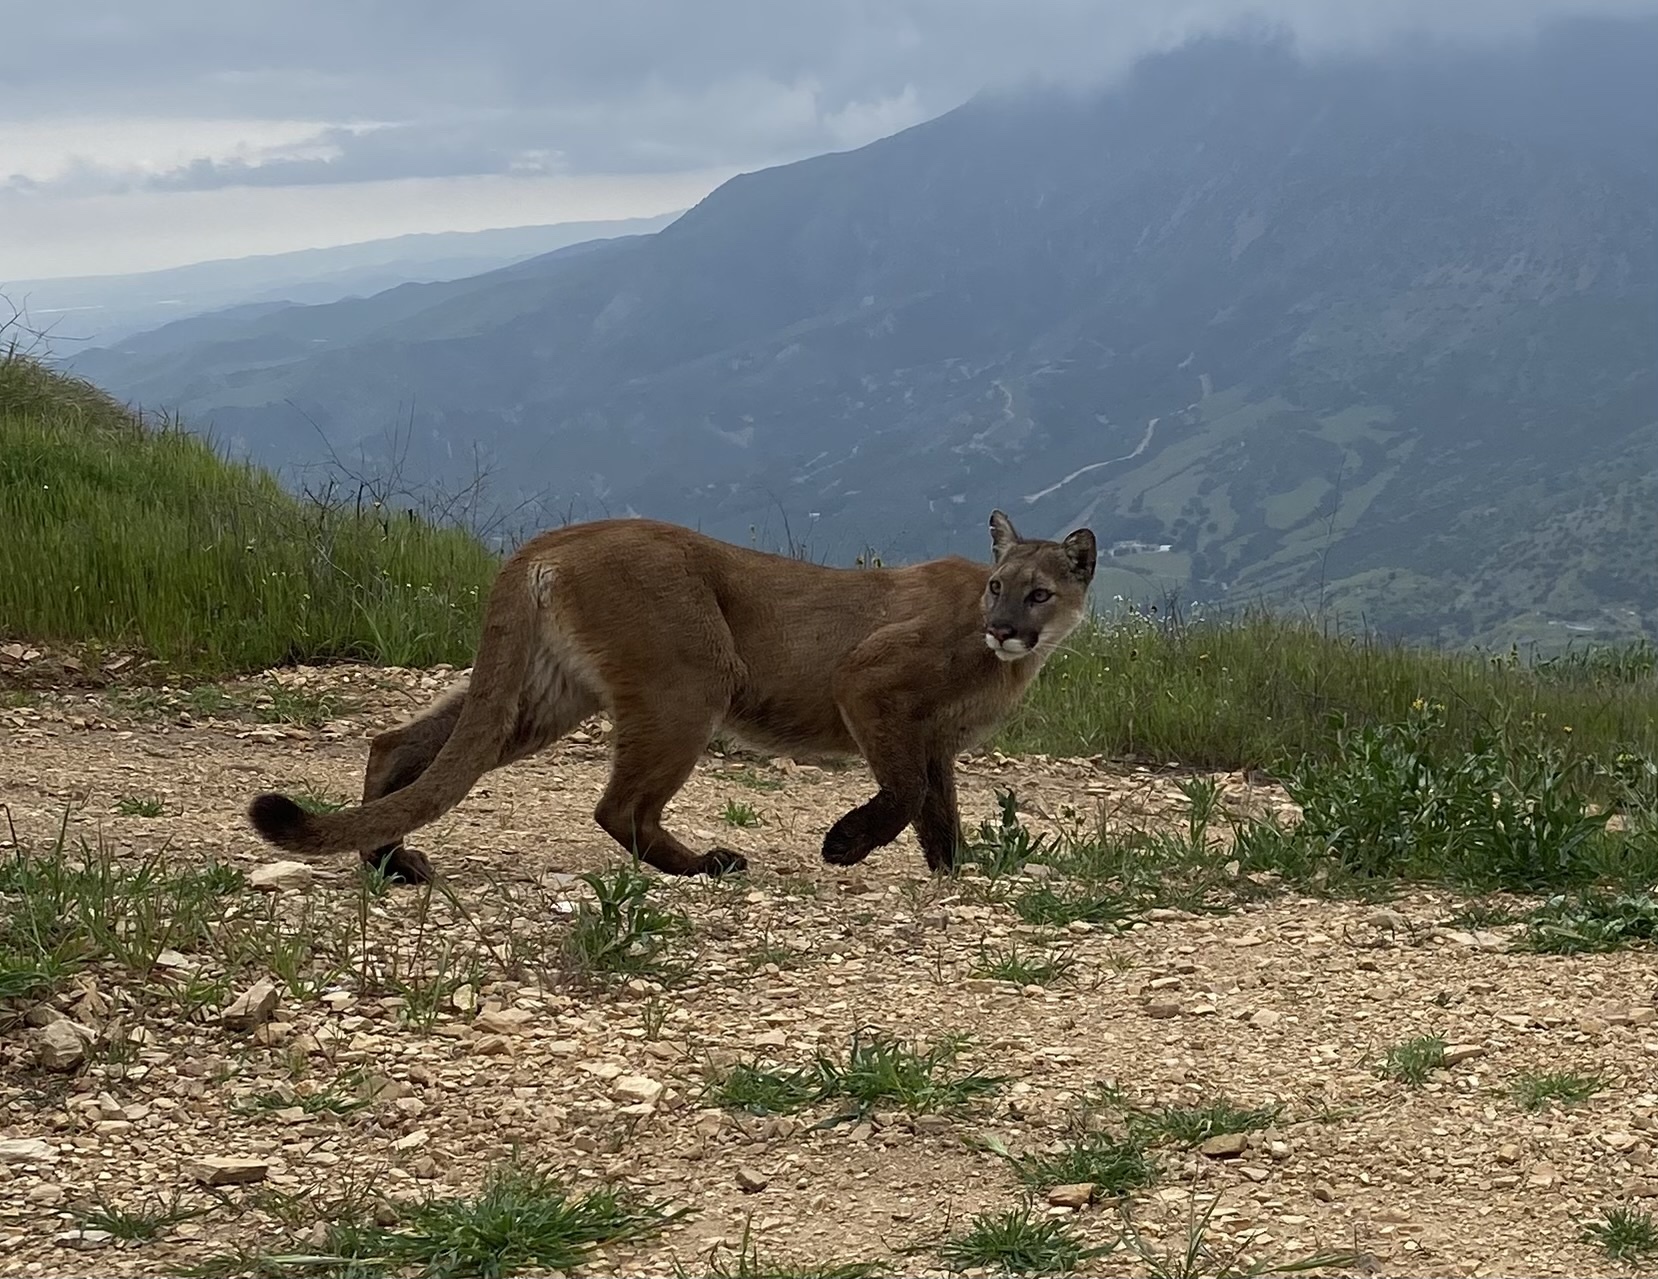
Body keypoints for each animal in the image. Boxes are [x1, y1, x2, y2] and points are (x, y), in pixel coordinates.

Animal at [245, 510, 1094, 882]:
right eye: (997, 586)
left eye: (1038, 592)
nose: (1005, 627)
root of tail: (556, 539)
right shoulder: (869, 686)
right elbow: (906, 791)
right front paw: (844, 844)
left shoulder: (937, 739)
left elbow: (938, 809)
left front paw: (954, 873)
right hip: (692, 681)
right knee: (619, 806)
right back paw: (704, 865)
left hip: (543, 698)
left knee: (400, 743)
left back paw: (388, 859)